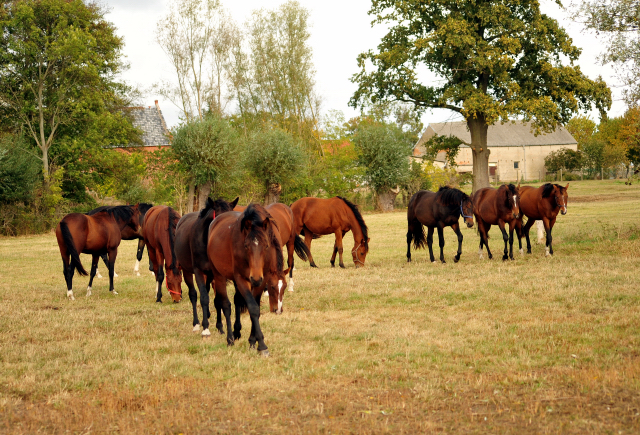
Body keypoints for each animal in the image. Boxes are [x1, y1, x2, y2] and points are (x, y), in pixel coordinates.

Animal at [175, 196, 240, 336]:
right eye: (219, 218)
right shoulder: (198, 271)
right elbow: (204, 298)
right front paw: (205, 328)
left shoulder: (216, 273)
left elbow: (217, 299)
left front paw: (220, 327)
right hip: (187, 271)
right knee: (193, 294)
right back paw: (196, 324)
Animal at [206, 203, 284, 356]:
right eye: (246, 246)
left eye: (266, 245)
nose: (255, 277)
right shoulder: (242, 279)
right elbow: (252, 308)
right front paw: (262, 345)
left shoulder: (263, 280)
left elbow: (256, 308)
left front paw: (253, 341)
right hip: (219, 276)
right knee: (226, 305)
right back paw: (230, 338)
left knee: (236, 301)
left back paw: (236, 333)